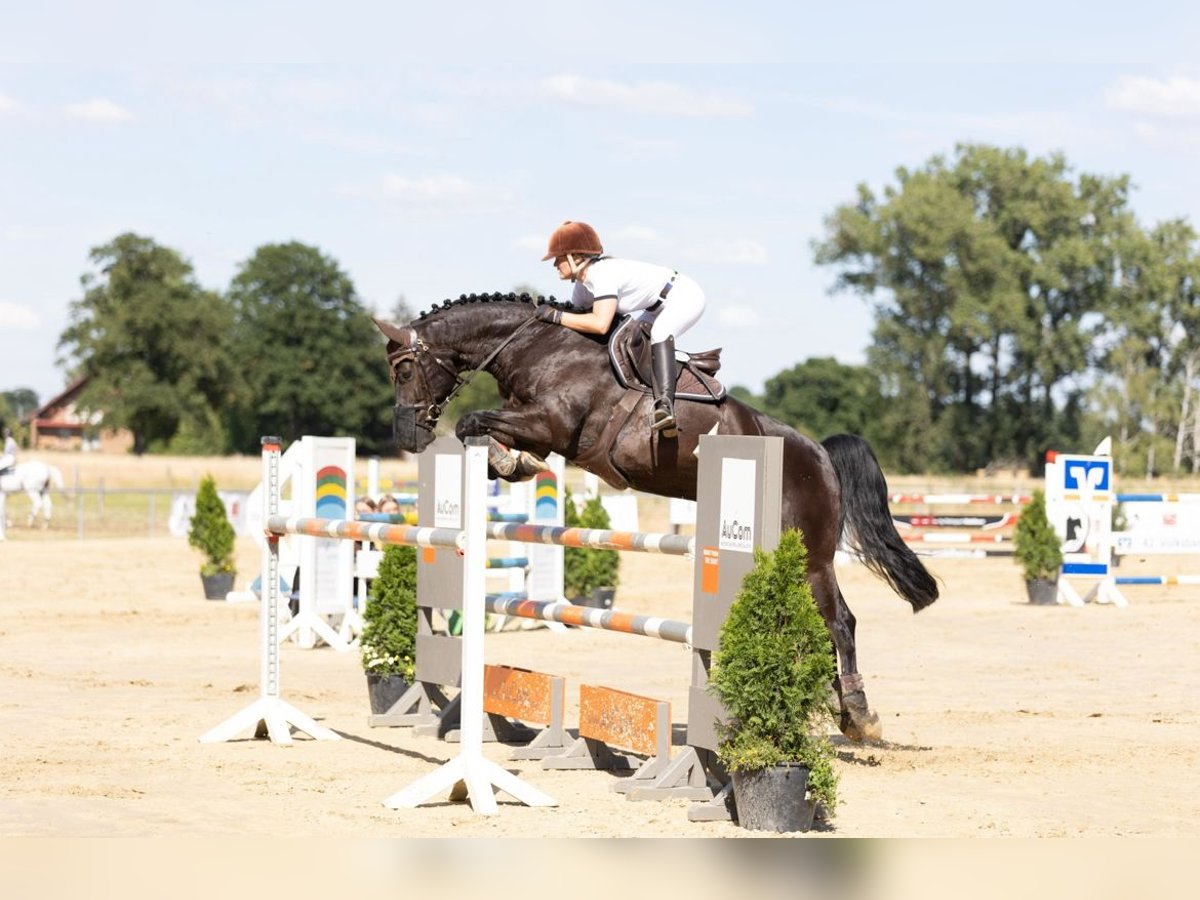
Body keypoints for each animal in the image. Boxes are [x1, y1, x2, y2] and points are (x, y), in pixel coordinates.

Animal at [374, 292, 936, 744]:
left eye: (404, 371)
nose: (408, 438)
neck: (539, 349)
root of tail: (820, 453)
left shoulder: (552, 425)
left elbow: (472, 420)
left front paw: (507, 459)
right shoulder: (533, 425)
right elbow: (488, 432)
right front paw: (510, 463)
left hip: (811, 556)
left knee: (840, 622)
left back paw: (859, 716)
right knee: (821, 626)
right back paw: (836, 710)